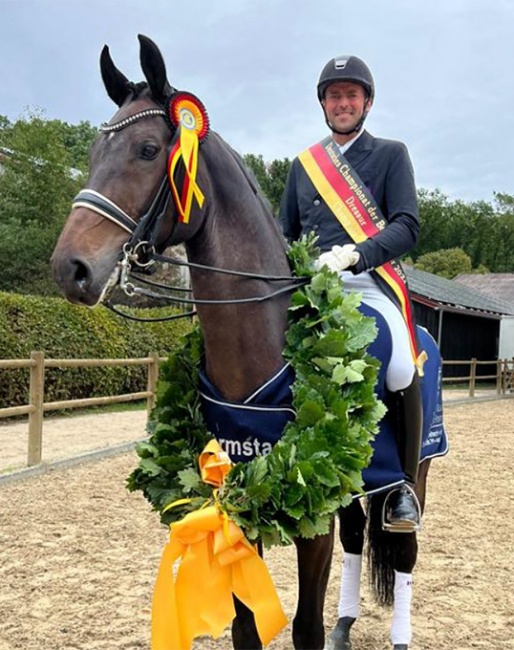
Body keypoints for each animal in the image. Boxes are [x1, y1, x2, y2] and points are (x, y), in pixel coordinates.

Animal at [51, 35, 440, 648]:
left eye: (147, 150)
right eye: (92, 152)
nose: (70, 269)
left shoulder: (310, 505)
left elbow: (304, 627)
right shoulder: (238, 494)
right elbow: (244, 628)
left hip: (414, 472)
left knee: (403, 548)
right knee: (359, 535)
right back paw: (346, 623)